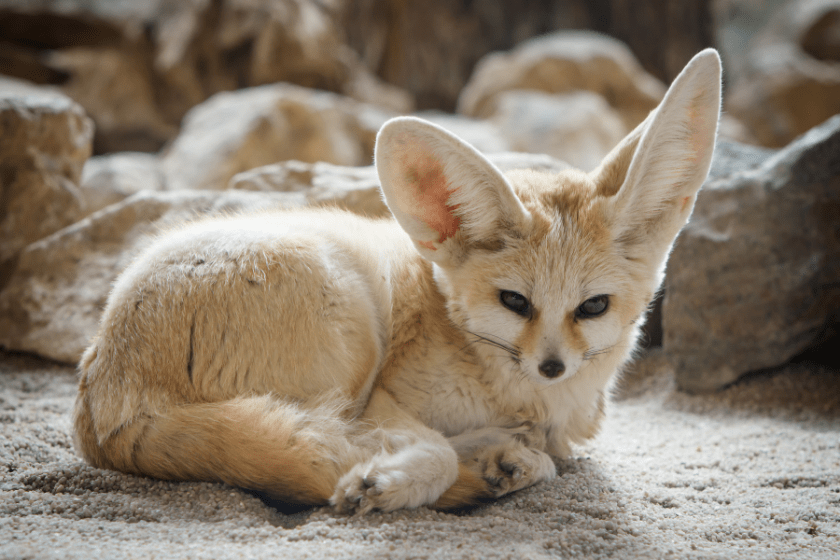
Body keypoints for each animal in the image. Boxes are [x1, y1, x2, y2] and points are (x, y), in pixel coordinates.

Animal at [74, 49, 720, 512]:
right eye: (514, 301)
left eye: (593, 307)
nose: (552, 366)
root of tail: (106, 405)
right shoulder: (382, 398)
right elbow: (431, 448)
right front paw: (393, 481)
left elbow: (525, 450)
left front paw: (502, 458)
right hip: (352, 330)